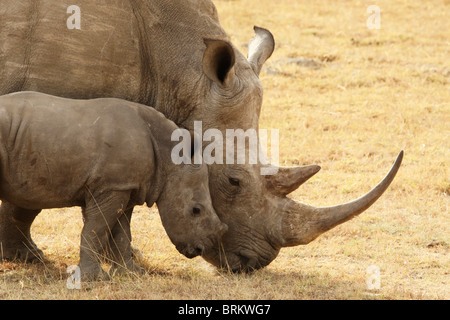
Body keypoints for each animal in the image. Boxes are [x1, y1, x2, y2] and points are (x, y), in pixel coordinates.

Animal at [0, 91, 227, 278]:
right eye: (196, 210)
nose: (201, 249)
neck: (168, 159)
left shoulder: (125, 186)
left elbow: (122, 233)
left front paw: (133, 274)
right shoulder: (111, 186)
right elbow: (97, 228)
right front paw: (95, 279)